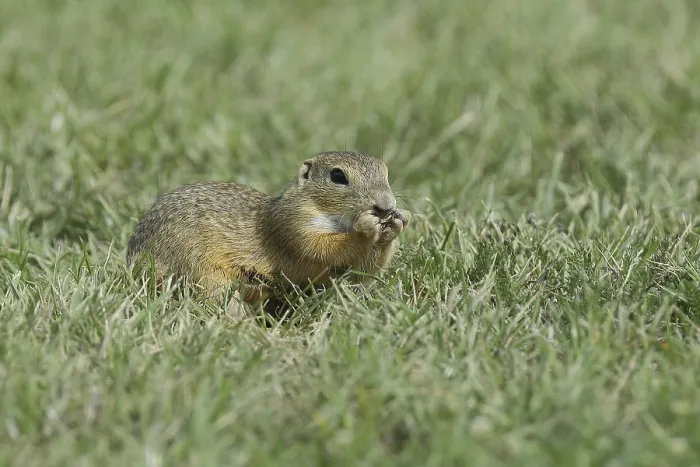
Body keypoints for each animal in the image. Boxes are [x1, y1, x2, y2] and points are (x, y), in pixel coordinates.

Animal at [126, 151, 410, 307]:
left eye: (385, 172)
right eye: (338, 176)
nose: (386, 206)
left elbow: (362, 273)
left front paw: (398, 223)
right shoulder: (291, 226)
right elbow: (323, 248)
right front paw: (366, 228)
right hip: (202, 270)